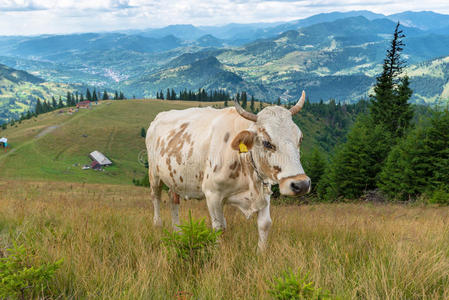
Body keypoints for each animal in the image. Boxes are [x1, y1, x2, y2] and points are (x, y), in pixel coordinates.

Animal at [145, 91, 310, 251]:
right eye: (267, 143)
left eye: (300, 138)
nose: (301, 184)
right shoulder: (212, 194)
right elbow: (219, 227)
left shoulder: (264, 190)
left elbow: (265, 224)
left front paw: (260, 254)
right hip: (154, 174)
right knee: (156, 197)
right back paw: (158, 226)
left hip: (174, 178)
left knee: (173, 199)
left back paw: (177, 232)